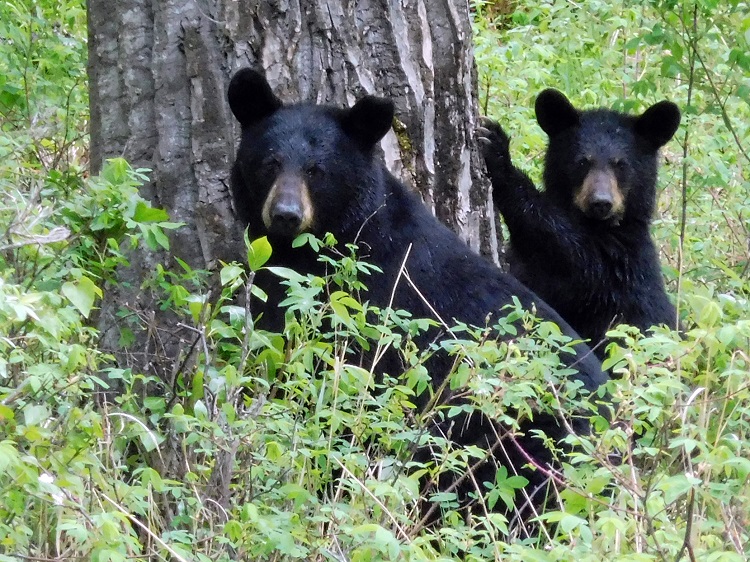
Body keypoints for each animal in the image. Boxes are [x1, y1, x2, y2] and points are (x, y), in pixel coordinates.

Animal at [482, 90, 680, 356]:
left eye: (621, 164)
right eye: (582, 162)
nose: (601, 202)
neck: (599, 226)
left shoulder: (616, 263)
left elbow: (564, 246)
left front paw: (498, 152)